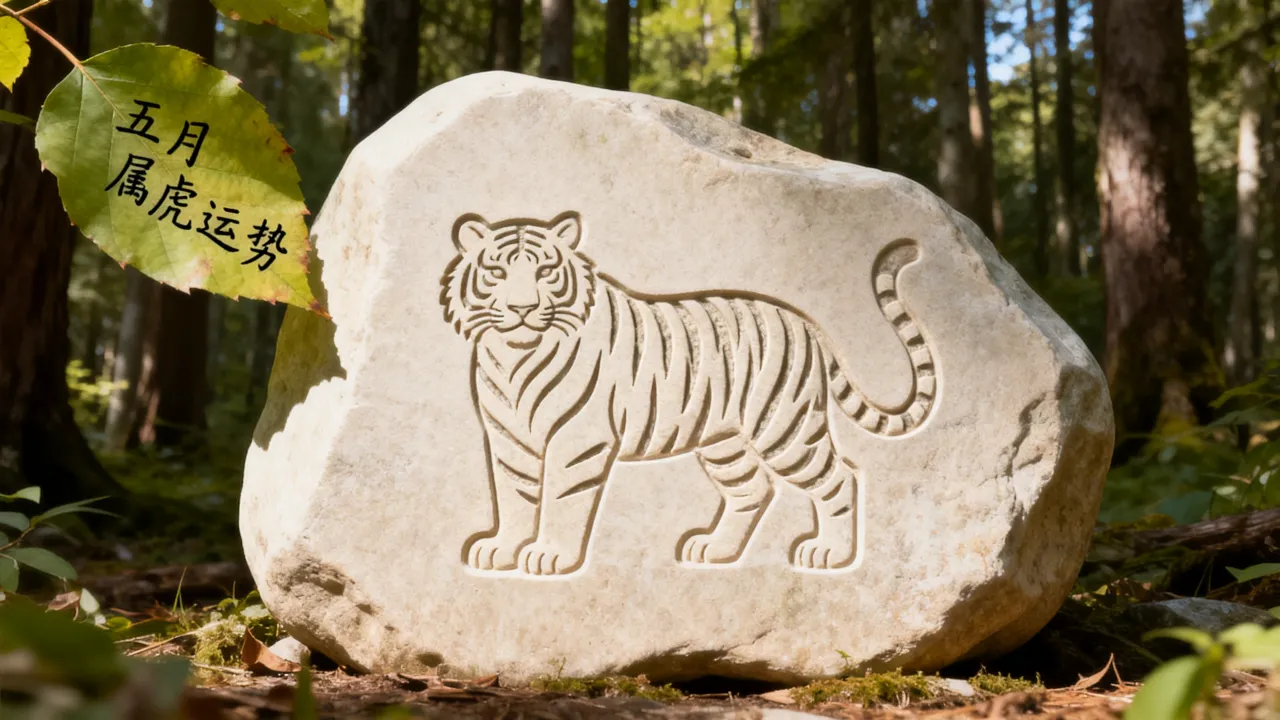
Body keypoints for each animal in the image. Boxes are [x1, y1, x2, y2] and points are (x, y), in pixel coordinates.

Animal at [440, 211, 937, 576]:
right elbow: (513, 495)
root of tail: (808, 326)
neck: (514, 357)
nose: (522, 309)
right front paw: (501, 550)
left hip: (784, 426)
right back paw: (714, 550)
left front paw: (550, 557)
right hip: (724, 440)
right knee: (753, 489)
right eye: (496, 272)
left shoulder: (578, 438)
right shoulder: (507, 437)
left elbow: (562, 500)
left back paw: (828, 555)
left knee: (840, 477)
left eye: (545, 271)